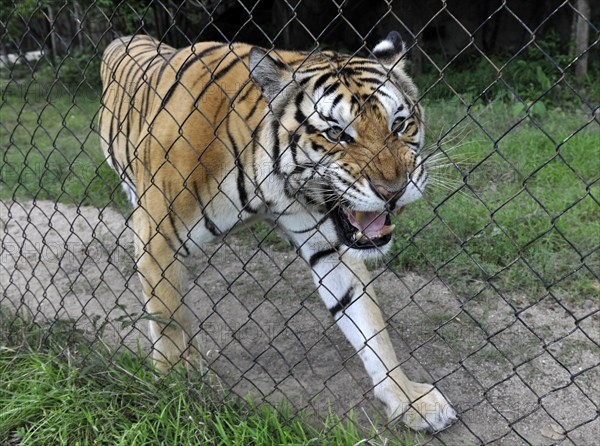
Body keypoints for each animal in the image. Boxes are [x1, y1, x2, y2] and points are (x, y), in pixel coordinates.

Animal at [98, 31, 454, 432]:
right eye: (336, 133)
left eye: (399, 125)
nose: (393, 190)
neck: (269, 187)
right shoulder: (157, 238)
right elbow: (169, 322)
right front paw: (178, 393)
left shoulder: (326, 244)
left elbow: (368, 323)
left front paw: (408, 397)